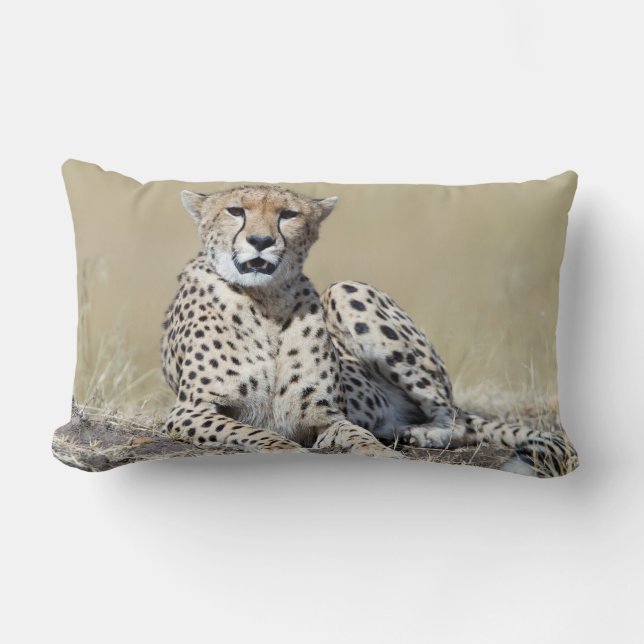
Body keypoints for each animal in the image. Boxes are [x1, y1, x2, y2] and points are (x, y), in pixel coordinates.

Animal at [160, 184, 578, 477]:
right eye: (235, 211)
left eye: (288, 214)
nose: (260, 241)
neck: (267, 302)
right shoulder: (189, 410)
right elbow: (259, 435)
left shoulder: (328, 418)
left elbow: (357, 435)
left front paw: (380, 454)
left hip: (347, 290)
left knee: (453, 417)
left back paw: (424, 433)